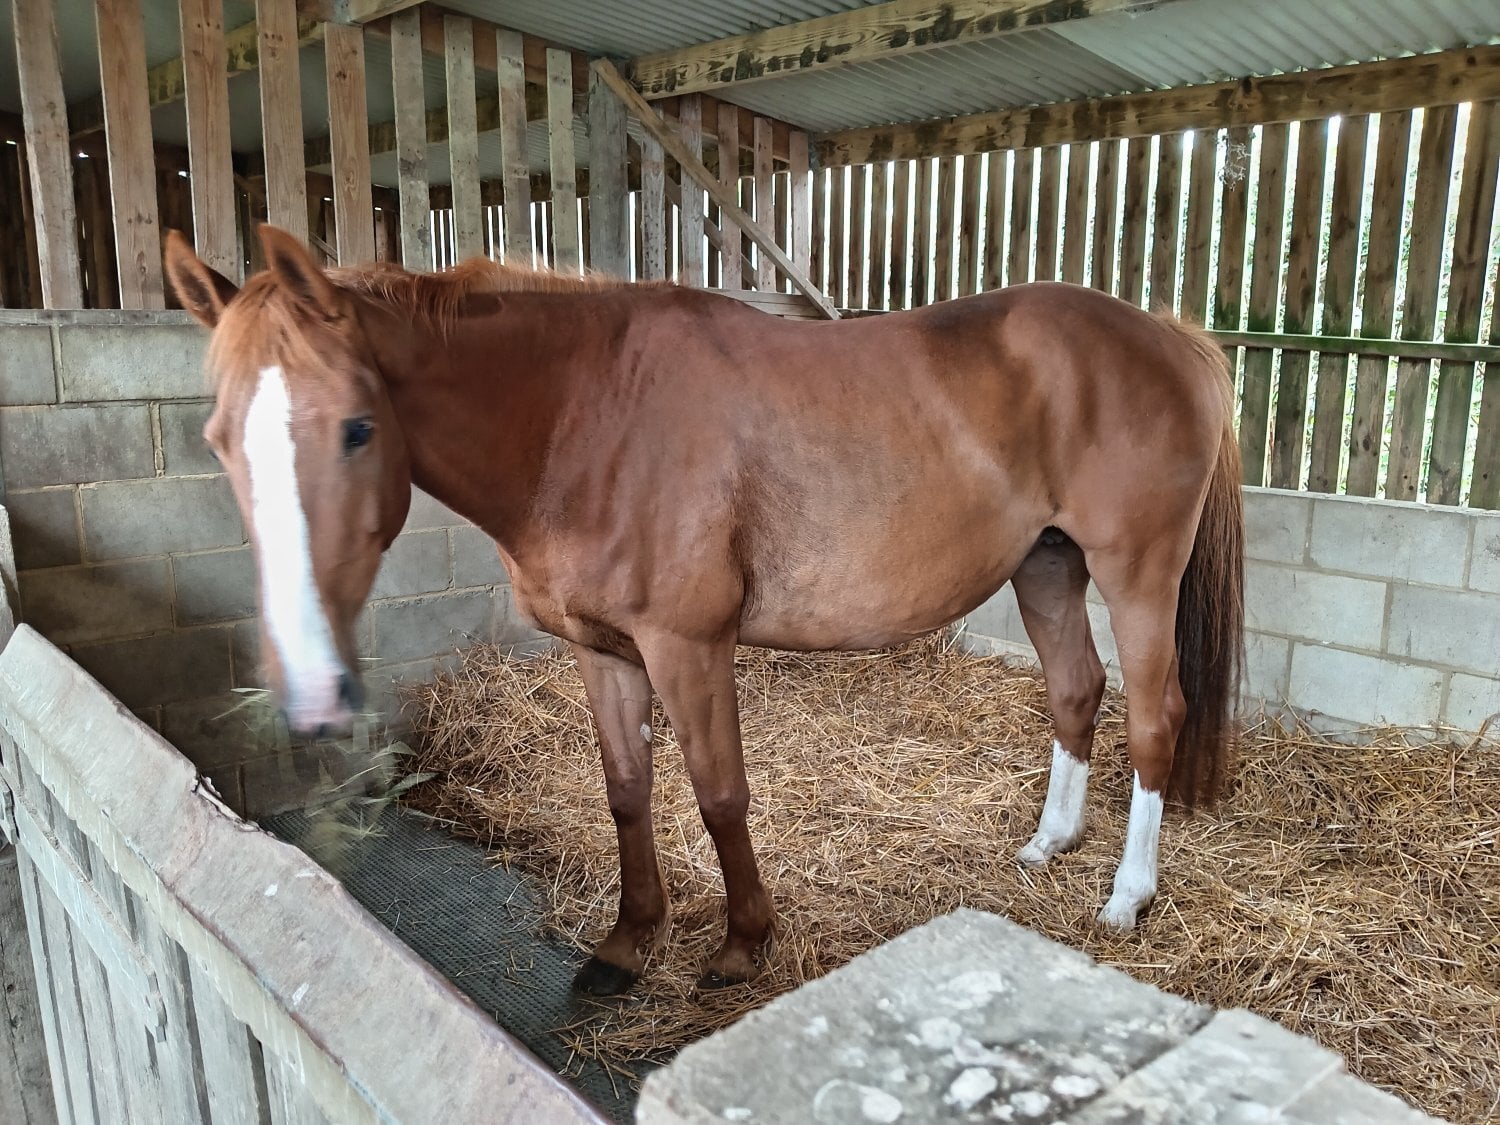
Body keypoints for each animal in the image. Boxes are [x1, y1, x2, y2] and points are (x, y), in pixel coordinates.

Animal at [164, 224, 1243, 996]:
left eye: (356, 428)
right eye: (217, 436)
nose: (311, 692)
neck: (583, 415)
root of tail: (1170, 333)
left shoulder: (688, 645)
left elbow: (721, 793)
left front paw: (740, 944)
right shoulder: (603, 650)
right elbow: (627, 791)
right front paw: (628, 940)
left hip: (1135, 573)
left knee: (1155, 717)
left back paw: (1127, 898)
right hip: (1048, 565)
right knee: (1077, 692)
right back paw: (1049, 842)